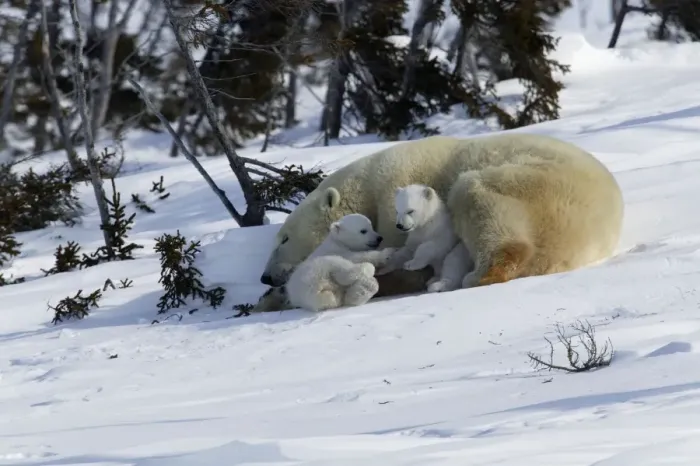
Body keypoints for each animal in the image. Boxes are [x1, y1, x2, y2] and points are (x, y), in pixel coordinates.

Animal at [259, 133, 624, 305]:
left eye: (284, 238)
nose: (265, 277)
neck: (367, 184)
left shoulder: (395, 196)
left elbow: (404, 263)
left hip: (531, 184)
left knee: (478, 198)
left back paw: (479, 274)